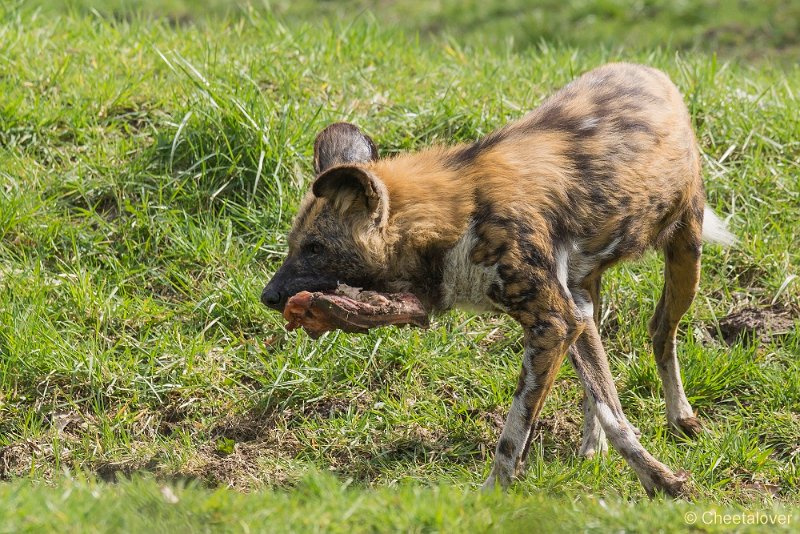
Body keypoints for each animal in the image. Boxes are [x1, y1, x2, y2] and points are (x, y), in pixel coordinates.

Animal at [260, 62, 732, 498]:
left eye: (314, 248)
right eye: (294, 245)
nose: (268, 296)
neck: (458, 219)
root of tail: (649, 70)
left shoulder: (552, 324)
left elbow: (514, 432)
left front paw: (493, 496)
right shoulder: (566, 319)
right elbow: (609, 409)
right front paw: (654, 476)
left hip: (685, 256)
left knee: (661, 332)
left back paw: (680, 417)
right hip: (585, 301)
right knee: (600, 382)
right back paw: (591, 448)